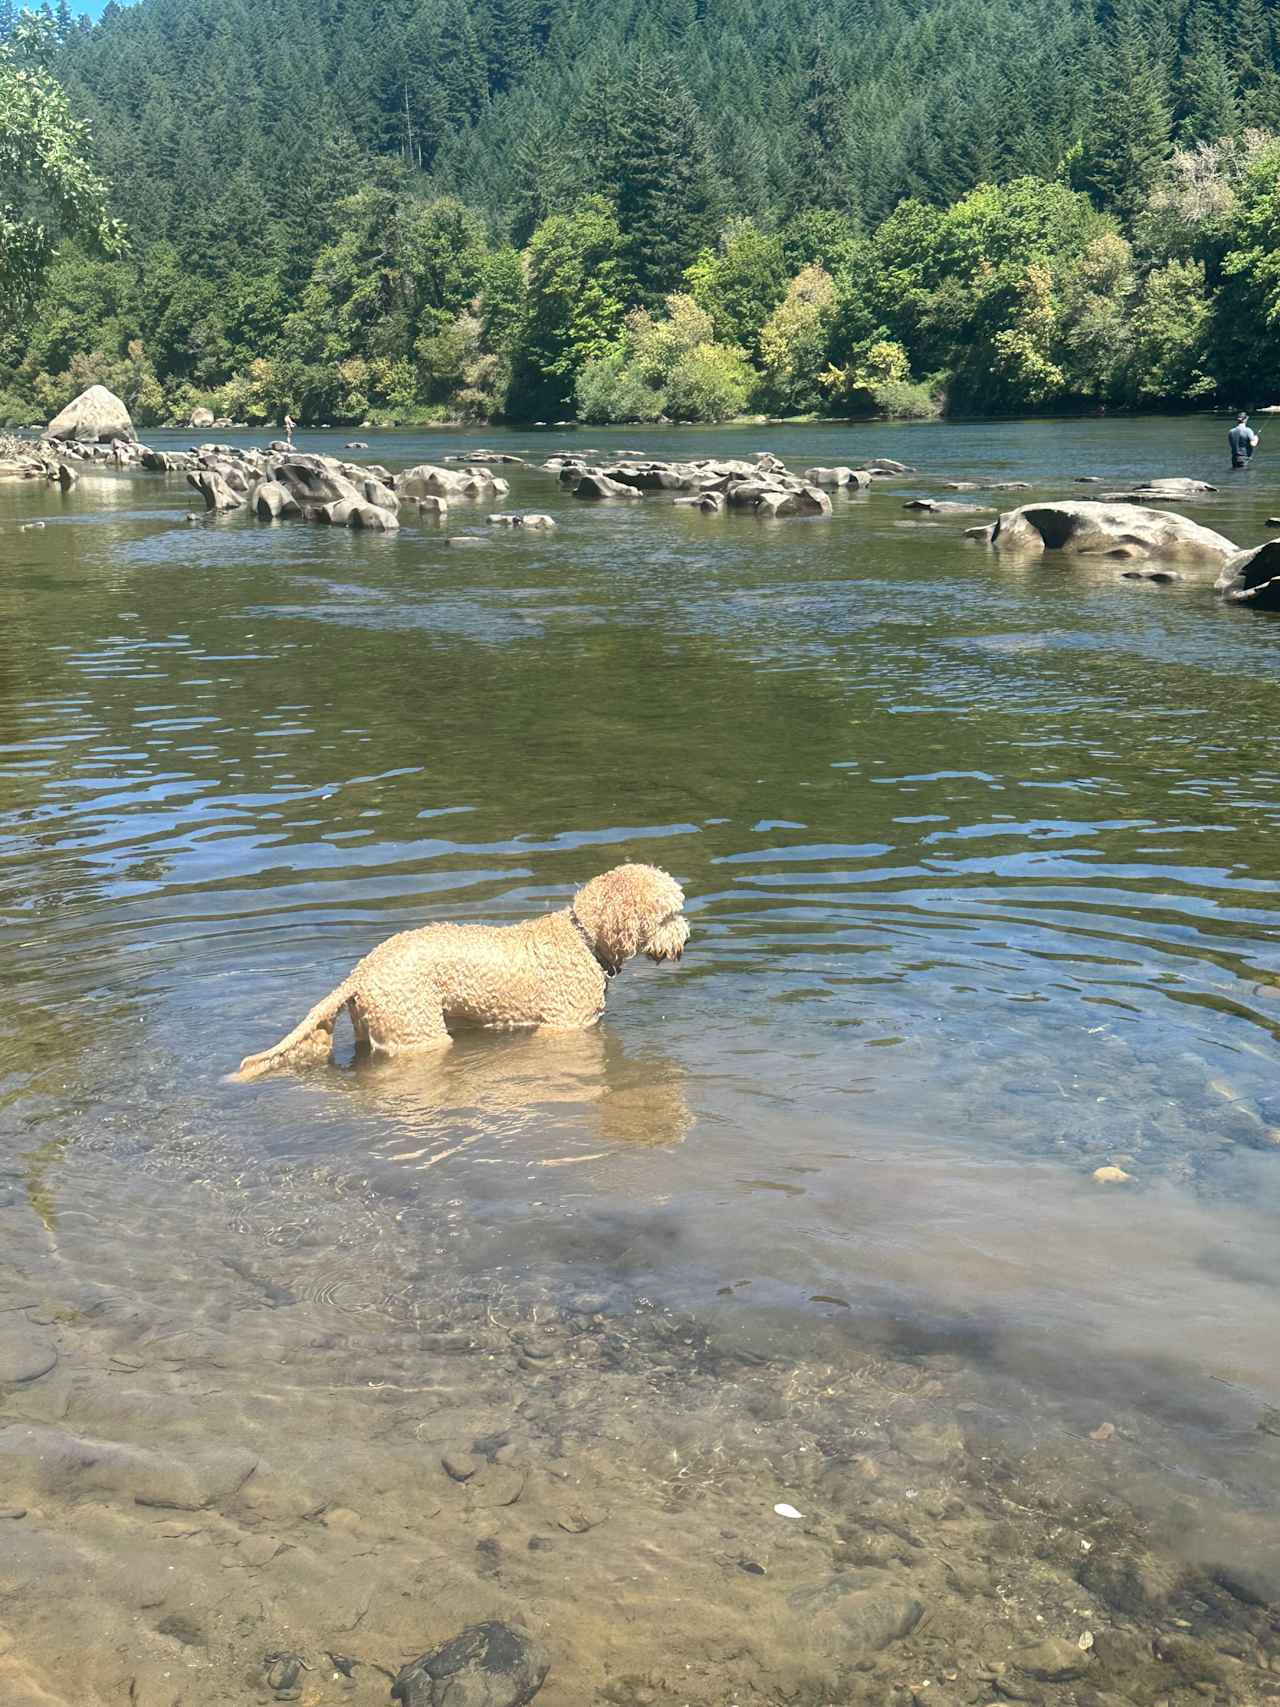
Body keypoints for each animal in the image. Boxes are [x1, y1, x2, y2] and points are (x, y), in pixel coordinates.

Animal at [230, 860, 692, 1085]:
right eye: (669, 913)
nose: (686, 938)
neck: (582, 938)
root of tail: (362, 971)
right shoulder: (564, 1028)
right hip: (418, 1031)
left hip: (375, 1029)